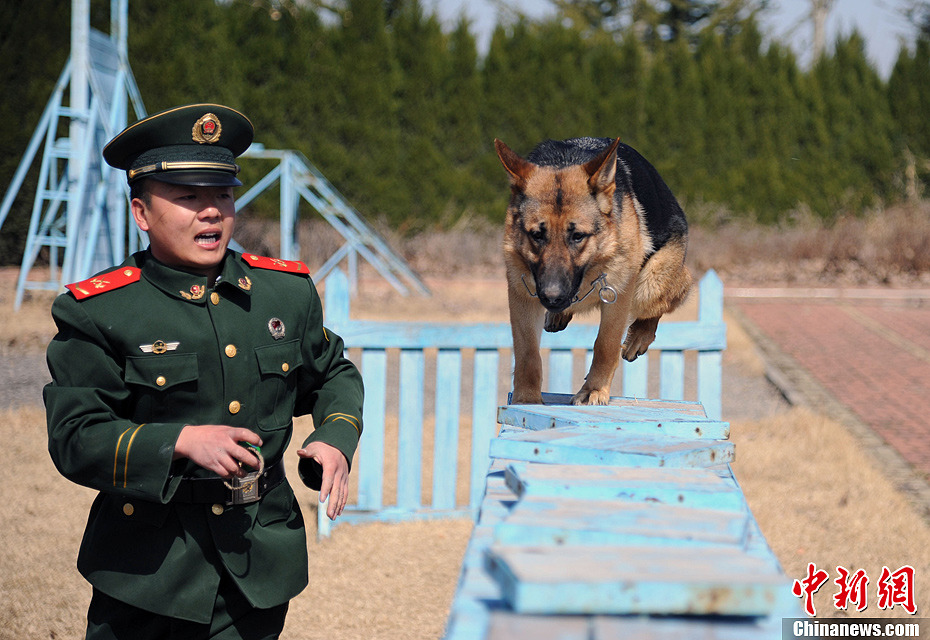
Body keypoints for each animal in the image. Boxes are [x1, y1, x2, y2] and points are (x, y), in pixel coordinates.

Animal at [500, 138, 688, 404]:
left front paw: (594, 390)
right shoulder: (521, 296)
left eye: (577, 236)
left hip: (651, 283)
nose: (552, 297)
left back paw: (639, 335)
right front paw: (526, 398)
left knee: (673, 294)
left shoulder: (618, 294)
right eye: (537, 235)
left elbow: (605, 345)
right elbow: (527, 353)